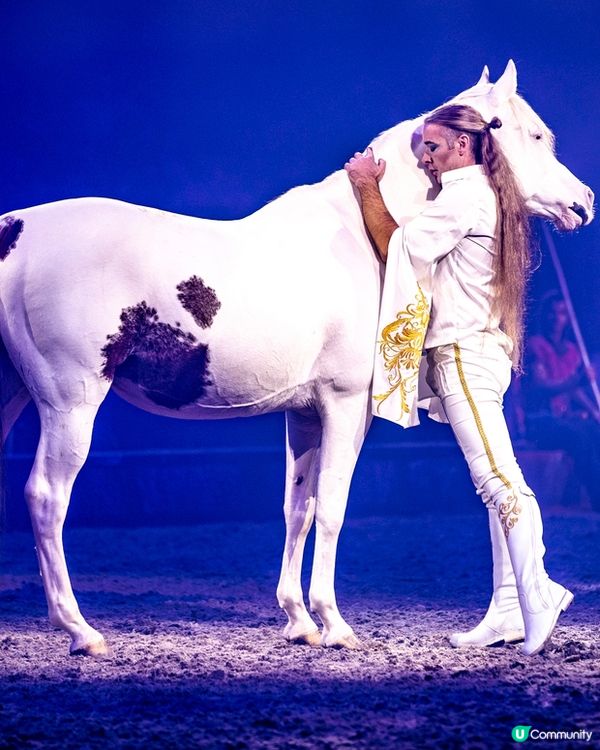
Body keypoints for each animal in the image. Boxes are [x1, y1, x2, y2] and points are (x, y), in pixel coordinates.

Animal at [0, 60, 593, 656]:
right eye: (535, 135)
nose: (584, 201)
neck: (360, 235)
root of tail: (14, 231)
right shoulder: (346, 405)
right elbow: (331, 509)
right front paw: (334, 623)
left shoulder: (305, 414)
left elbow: (298, 509)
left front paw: (299, 620)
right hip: (71, 404)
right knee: (46, 497)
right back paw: (80, 630)